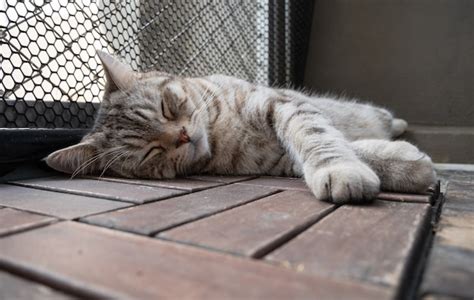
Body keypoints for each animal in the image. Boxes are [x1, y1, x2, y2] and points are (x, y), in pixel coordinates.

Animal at [46, 51, 436, 204]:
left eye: (167, 108)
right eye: (151, 152)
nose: (182, 135)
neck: (221, 133)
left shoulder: (282, 103)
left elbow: (316, 135)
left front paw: (342, 167)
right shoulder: (278, 161)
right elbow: (342, 147)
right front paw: (403, 166)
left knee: (382, 115)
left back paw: (399, 125)